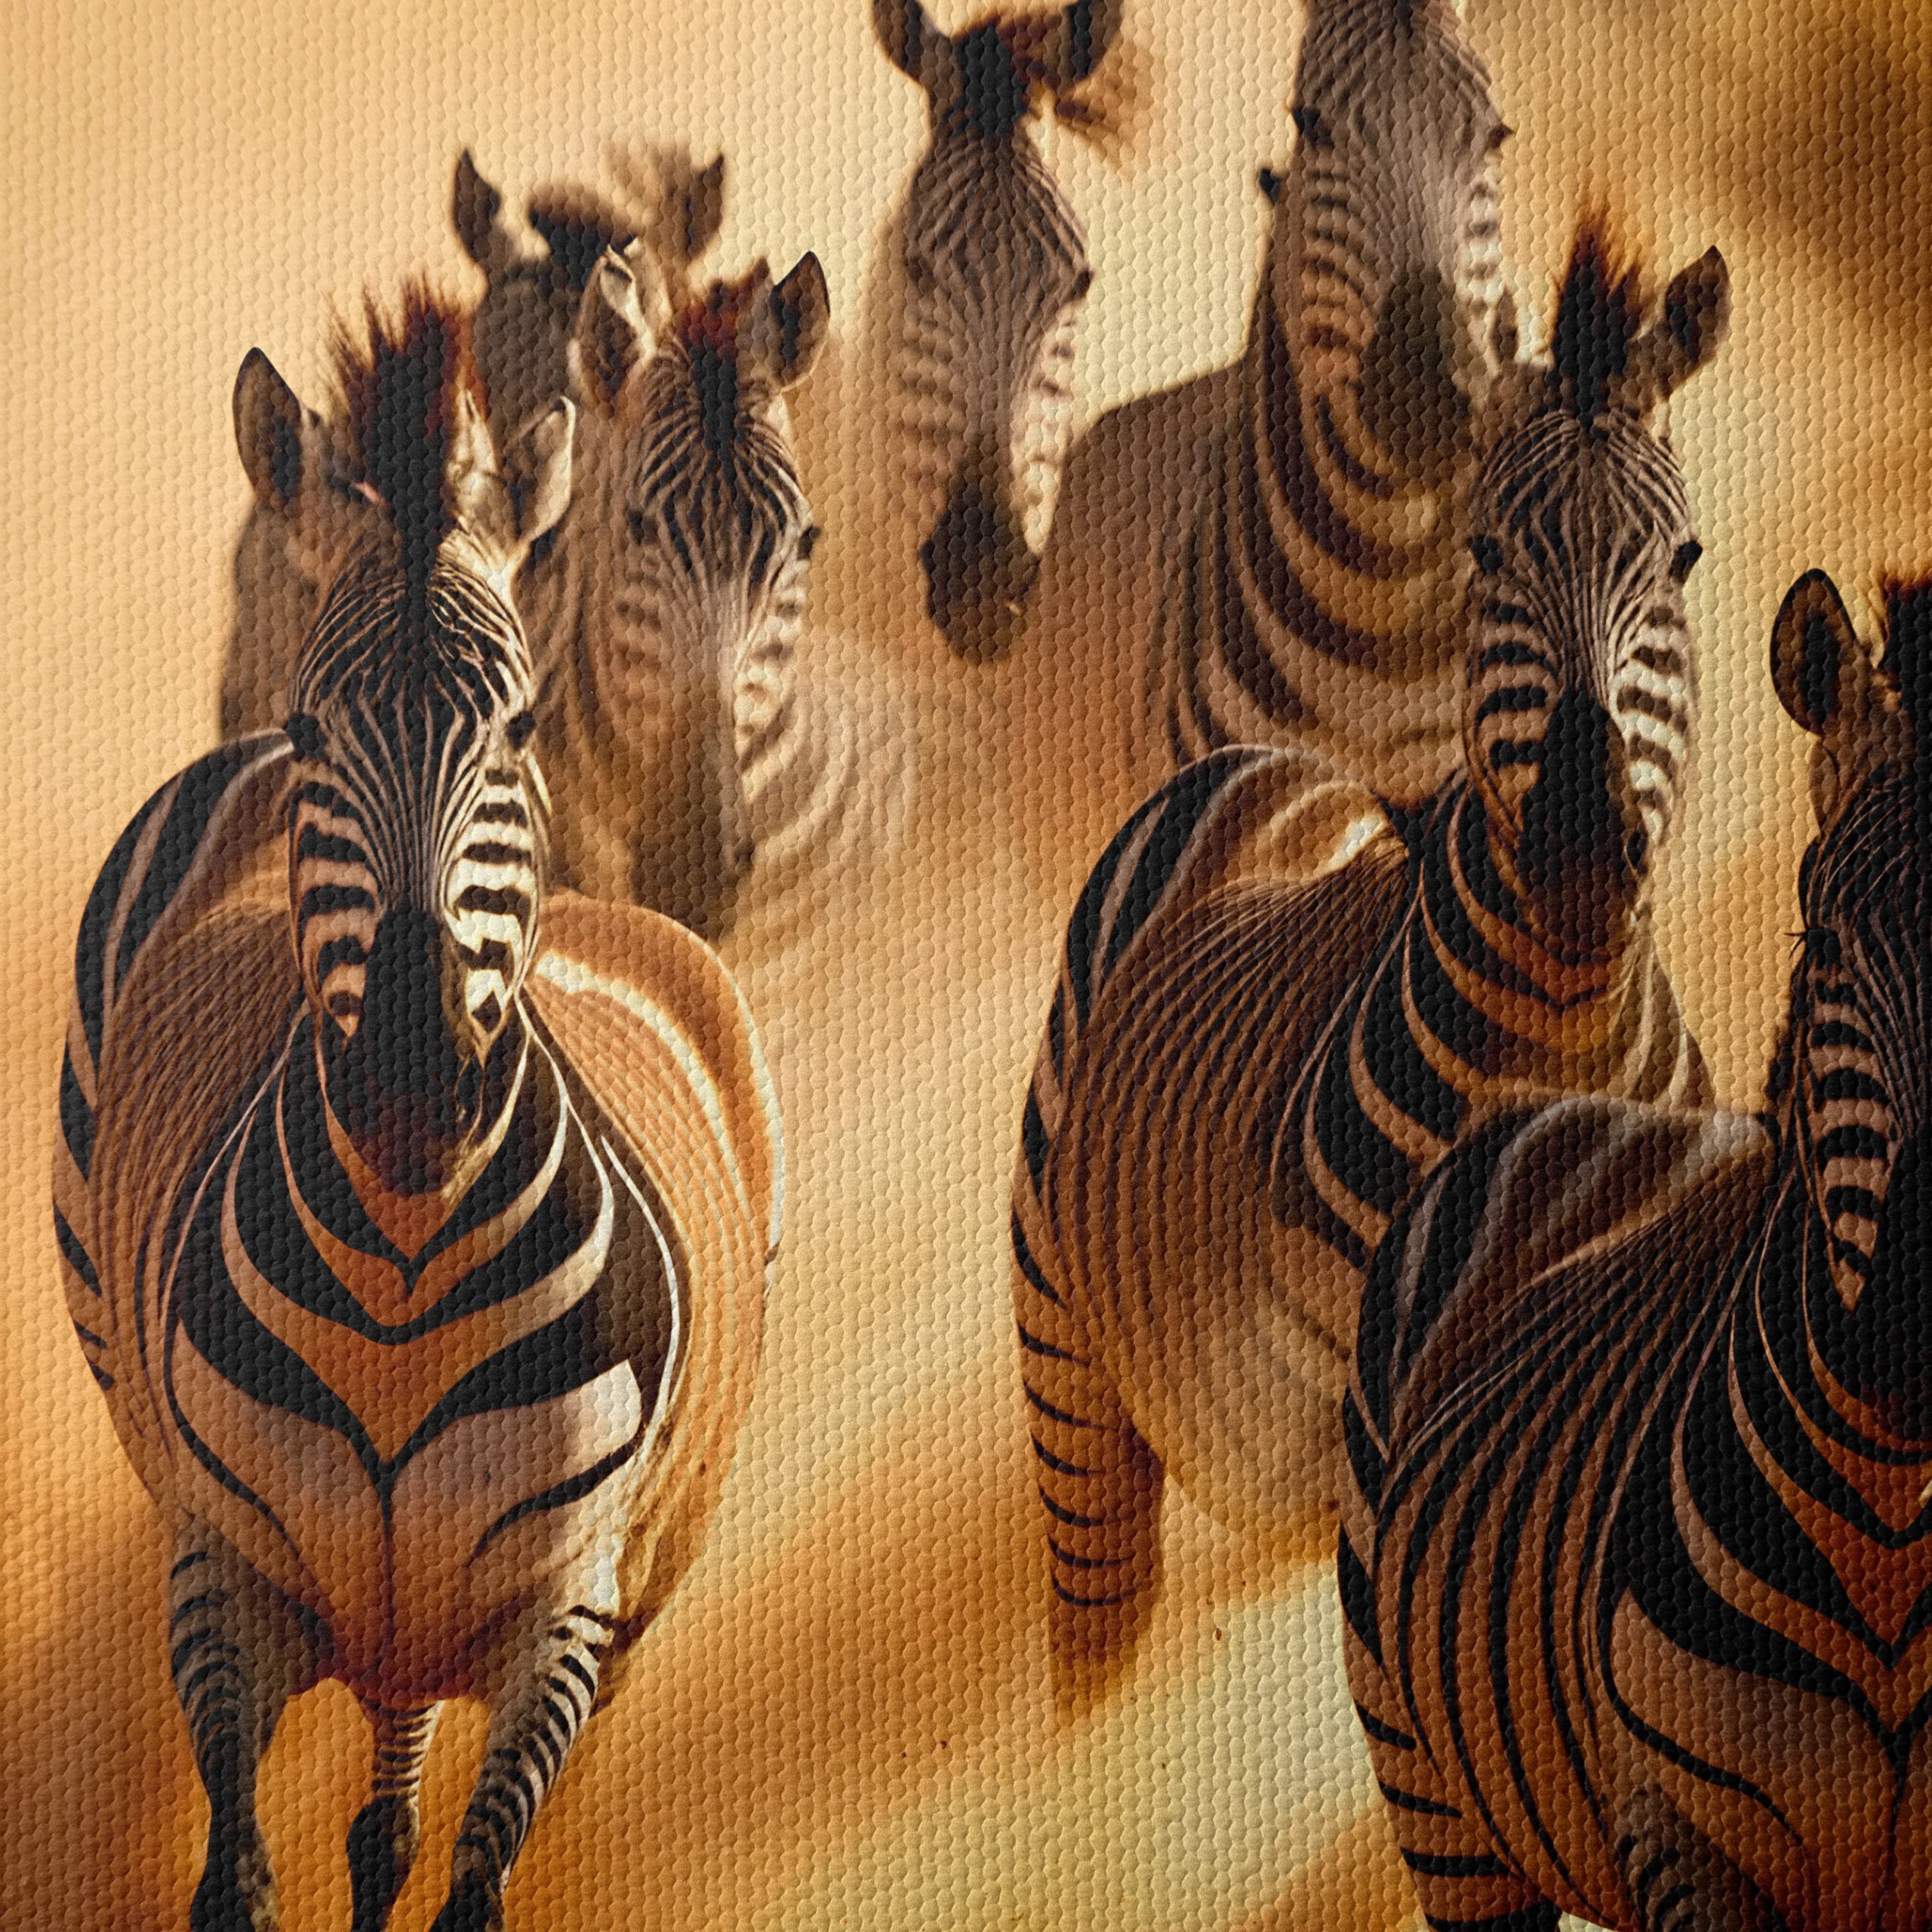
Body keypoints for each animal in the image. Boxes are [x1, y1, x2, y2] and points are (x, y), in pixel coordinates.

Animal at [54, 291, 781, 1932]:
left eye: (517, 728)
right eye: (319, 735)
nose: (406, 1093)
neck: (399, 1274)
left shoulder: (562, 1613)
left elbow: (471, 1884)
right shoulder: (225, 1568)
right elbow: (234, 1882)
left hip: (599, 1583)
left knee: (401, 1779)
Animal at [1007, 223, 1730, 1708]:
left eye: (1682, 558)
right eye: (1485, 552)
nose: (1580, 857)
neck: (1559, 1023)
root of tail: (1279, 766)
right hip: (1068, 1354)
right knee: (1099, 1613)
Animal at [1339, 563, 1932, 1932]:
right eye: (1821, 944)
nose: (1919, 1332)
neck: (1895, 1525)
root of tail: (1543, 1106)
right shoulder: (1673, 1838)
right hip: (1445, 1817)